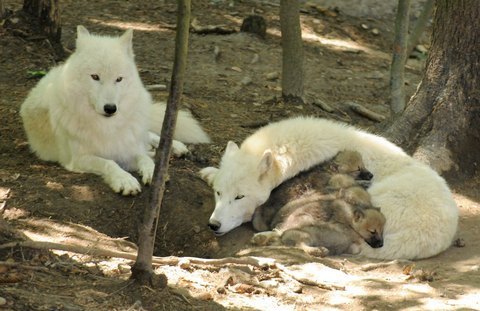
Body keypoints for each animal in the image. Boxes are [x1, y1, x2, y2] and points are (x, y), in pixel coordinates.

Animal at [20, 26, 212, 195]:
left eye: (119, 79)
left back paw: (175, 147)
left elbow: (143, 157)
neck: (107, 127)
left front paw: (154, 172)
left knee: (148, 135)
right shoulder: (79, 158)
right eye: (95, 77)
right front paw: (125, 180)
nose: (111, 108)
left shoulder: (126, 146)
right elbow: (110, 163)